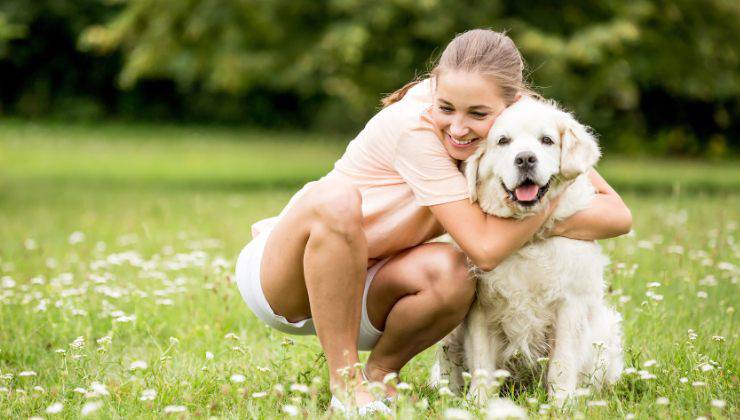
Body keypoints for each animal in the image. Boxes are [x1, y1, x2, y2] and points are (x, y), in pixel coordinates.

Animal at [428, 97, 624, 406]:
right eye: (503, 141)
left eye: (547, 140)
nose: (525, 159)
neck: (524, 240)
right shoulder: (480, 309)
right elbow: (482, 362)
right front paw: (479, 403)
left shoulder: (569, 305)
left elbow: (562, 363)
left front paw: (562, 404)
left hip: (605, 329)